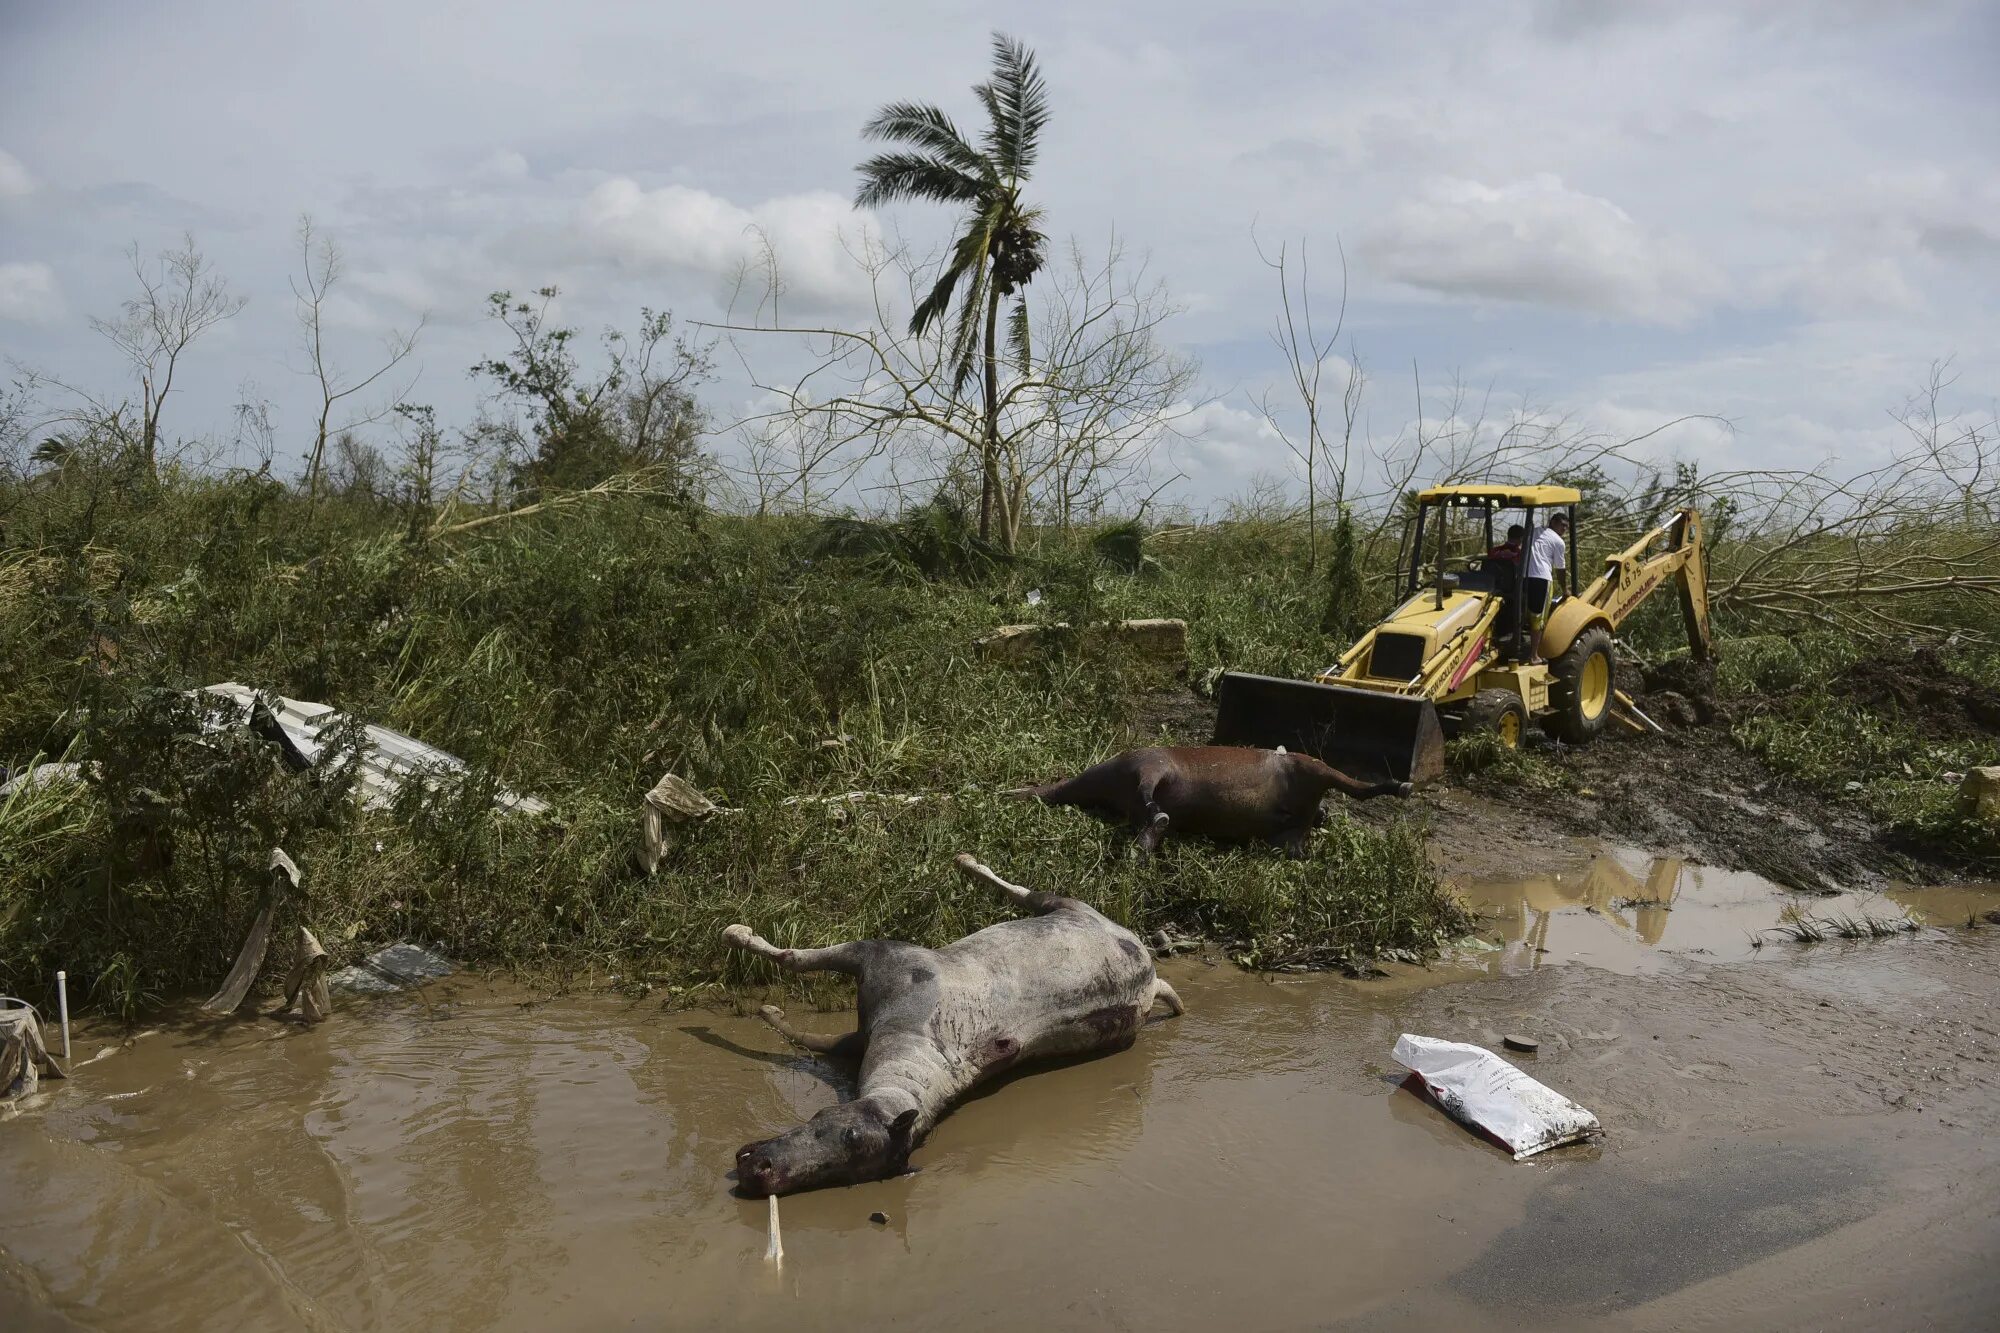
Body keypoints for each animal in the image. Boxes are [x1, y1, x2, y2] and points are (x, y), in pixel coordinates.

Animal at [728, 852, 1176, 1192]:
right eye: (832, 1126)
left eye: (847, 1156)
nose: (760, 1171)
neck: (923, 1040)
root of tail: (1153, 975)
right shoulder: (871, 988)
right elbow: (801, 1012)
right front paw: (758, 986)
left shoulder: (877, 964)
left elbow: (793, 965)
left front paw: (739, 942)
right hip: (1073, 911)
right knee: (1033, 894)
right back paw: (966, 861)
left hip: (1076, 913)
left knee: (1030, 894)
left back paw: (967, 862)